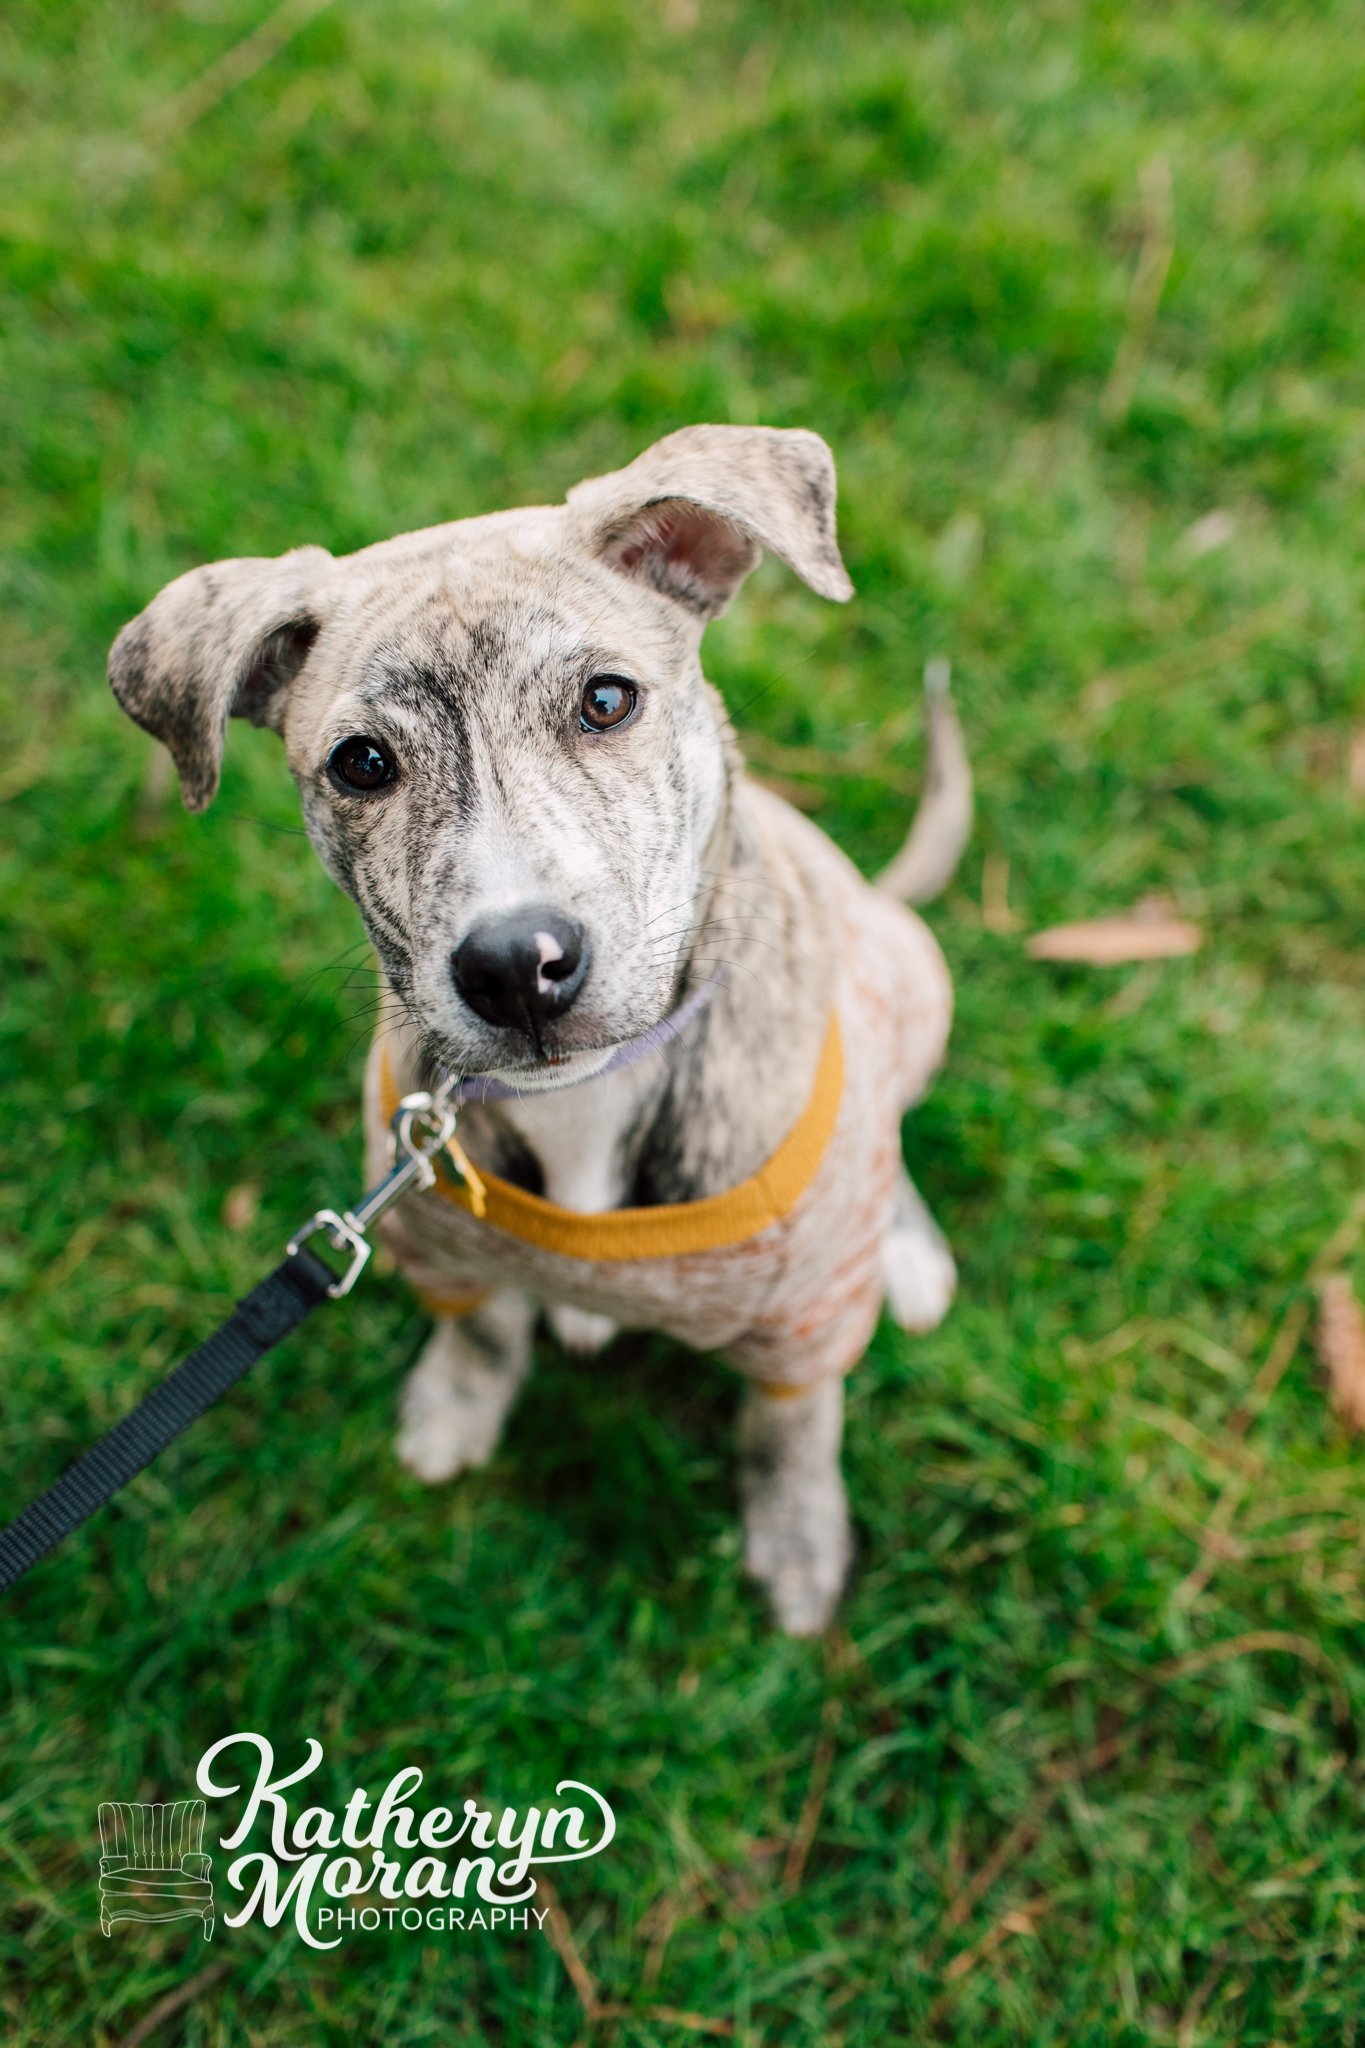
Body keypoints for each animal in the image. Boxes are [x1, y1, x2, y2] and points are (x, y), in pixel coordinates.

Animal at [114, 428, 970, 1630]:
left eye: (607, 699)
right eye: (361, 762)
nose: (517, 967)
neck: (588, 1098)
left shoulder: (806, 1319)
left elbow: (790, 1425)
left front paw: (798, 1546)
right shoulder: (439, 1243)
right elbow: (480, 1327)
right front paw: (455, 1410)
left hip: (913, 984)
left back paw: (908, 1247)